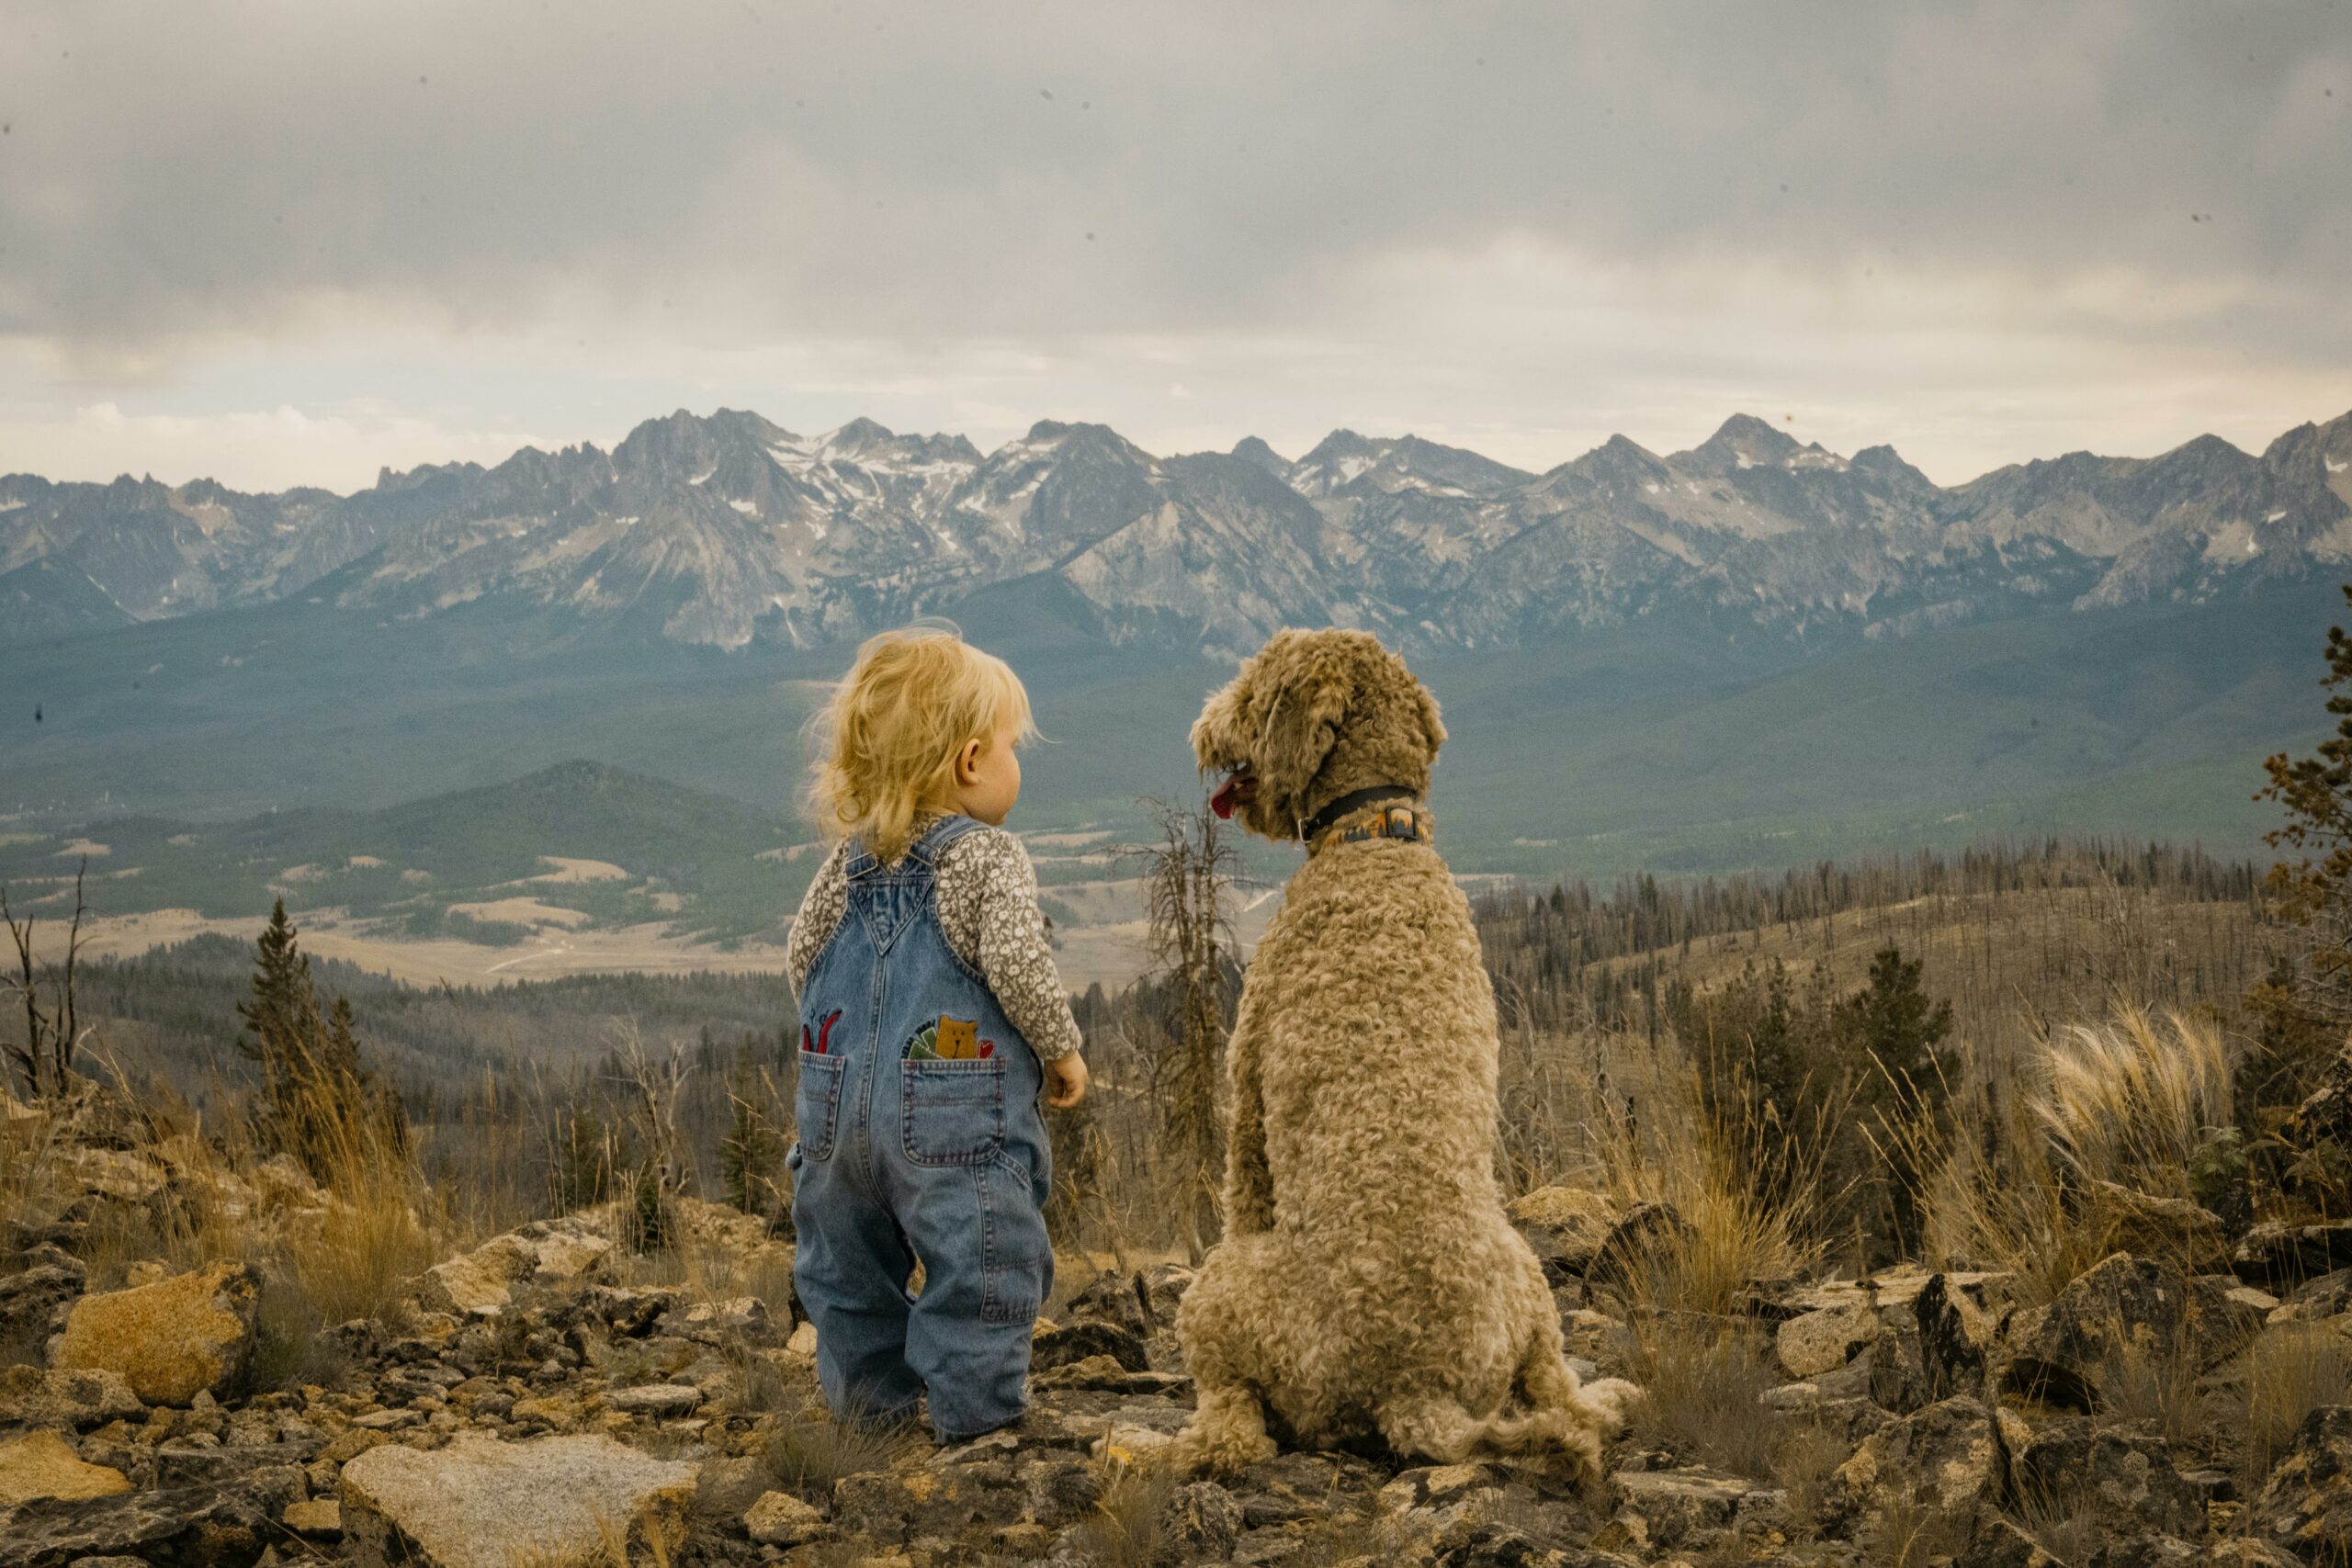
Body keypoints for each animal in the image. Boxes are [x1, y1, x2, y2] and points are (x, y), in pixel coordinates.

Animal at [1161, 629, 1636, 1485]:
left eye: (1250, 691)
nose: (1204, 728)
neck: (1375, 832)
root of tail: (1418, 1386)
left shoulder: (1247, 1086)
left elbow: (1242, 1177)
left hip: (1224, 1296)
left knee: (1237, 1428)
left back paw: (1166, 1446)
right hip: (1529, 1283)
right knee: (1558, 1390)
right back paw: (1606, 1396)